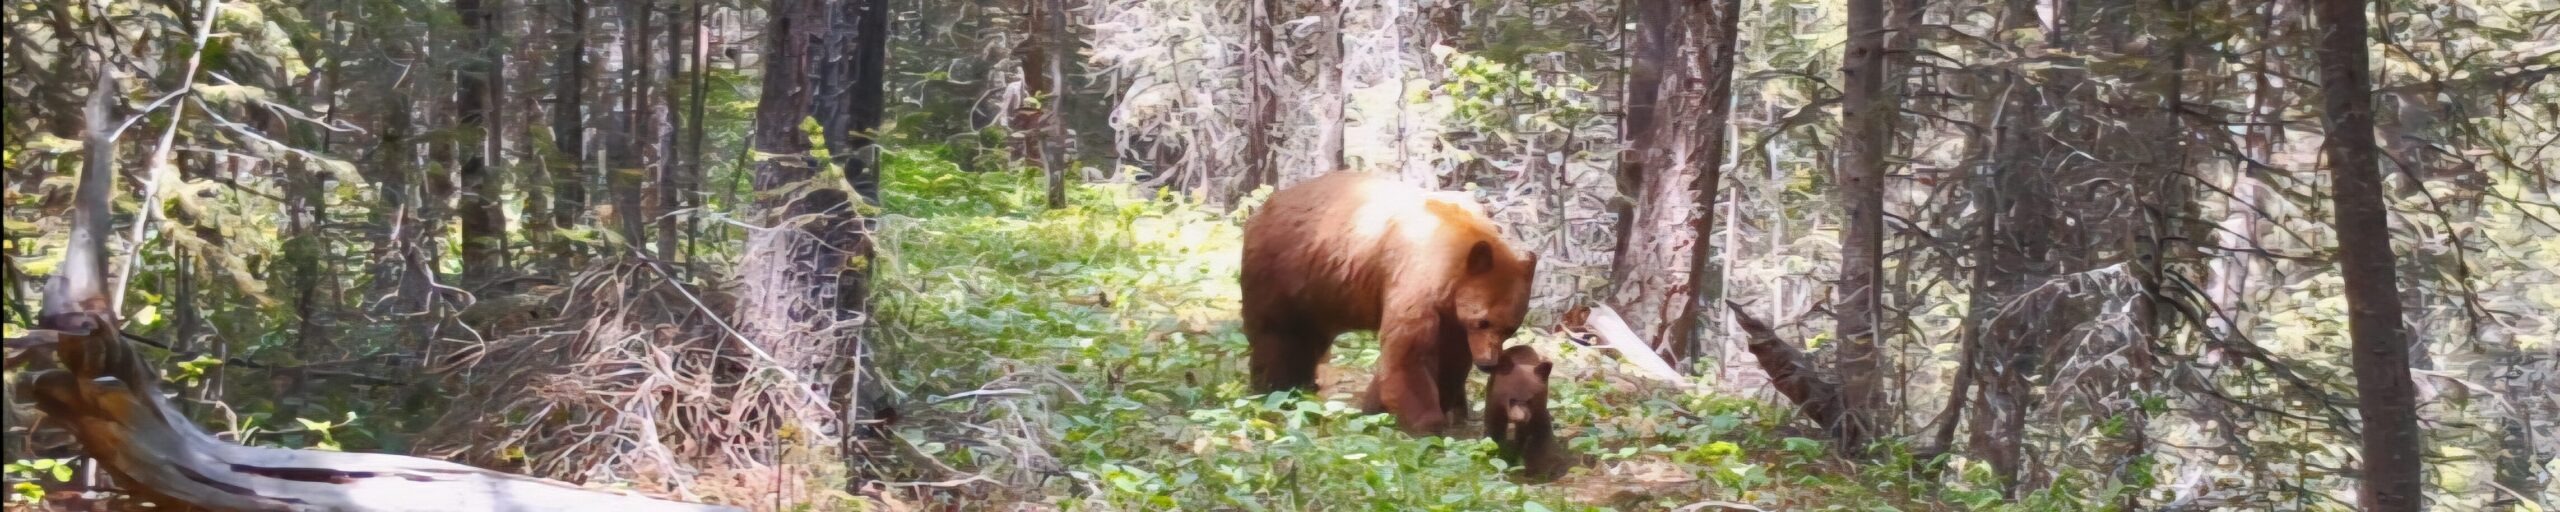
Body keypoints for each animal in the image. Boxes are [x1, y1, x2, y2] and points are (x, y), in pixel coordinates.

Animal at [1239, 171, 1538, 435]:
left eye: (1510, 328)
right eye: (1483, 320)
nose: (1488, 363)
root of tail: (1263, 207)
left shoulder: (1451, 313)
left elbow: (1450, 355)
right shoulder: (1416, 282)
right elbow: (1408, 354)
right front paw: (1427, 423)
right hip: (1283, 271)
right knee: (1277, 335)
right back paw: (1275, 387)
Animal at [1485, 345, 1567, 481]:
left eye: (1530, 400)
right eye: (1512, 399)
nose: (1519, 418)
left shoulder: (1537, 410)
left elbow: (1537, 434)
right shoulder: (1495, 403)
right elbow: (1494, 428)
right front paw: (1495, 454)